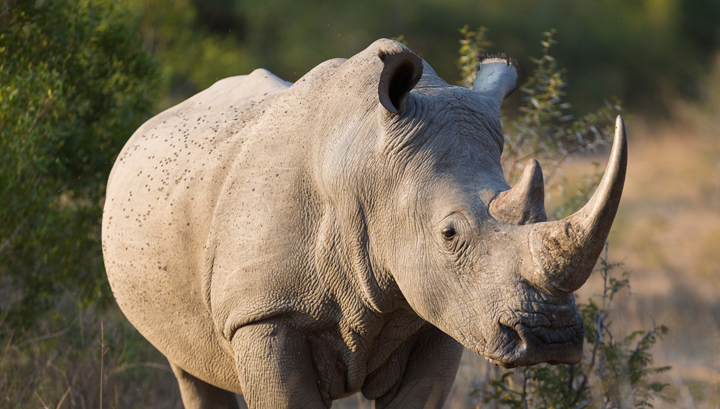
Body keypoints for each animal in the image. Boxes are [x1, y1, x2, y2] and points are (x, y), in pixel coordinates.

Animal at [102, 39, 627, 408]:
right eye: (449, 234)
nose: (552, 338)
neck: (371, 171)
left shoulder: (444, 314)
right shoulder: (263, 312)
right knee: (188, 366)